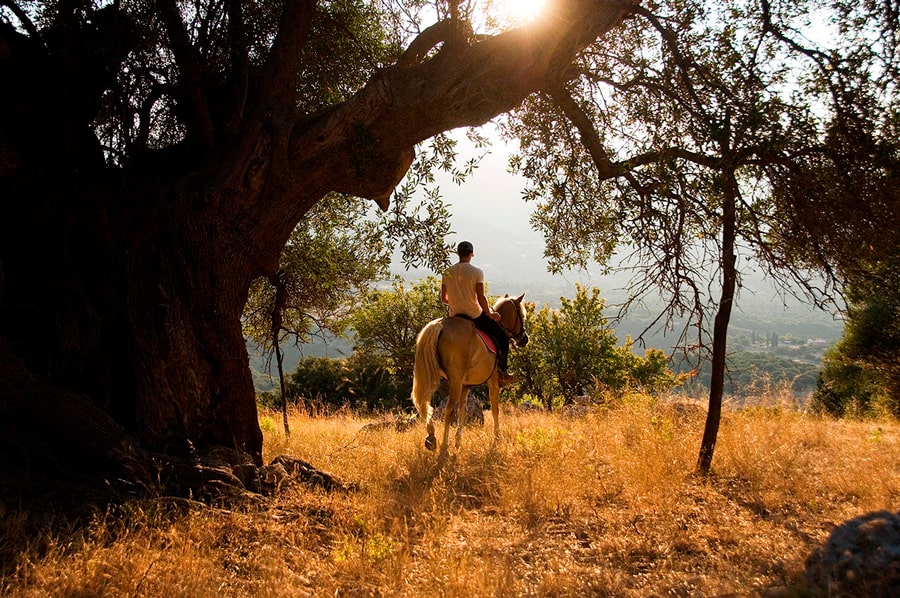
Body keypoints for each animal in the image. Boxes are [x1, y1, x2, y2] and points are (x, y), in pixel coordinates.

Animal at [410, 294, 528, 460]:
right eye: (522, 315)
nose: (524, 339)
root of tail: (440, 325)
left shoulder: (465, 385)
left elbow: (463, 411)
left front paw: (458, 442)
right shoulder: (492, 382)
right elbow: (495, 409)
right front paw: (497, 438)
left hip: (431, 374)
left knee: (425, 403)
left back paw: (431, 438)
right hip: (454, 380)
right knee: (448, 409)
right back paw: (444, 448)